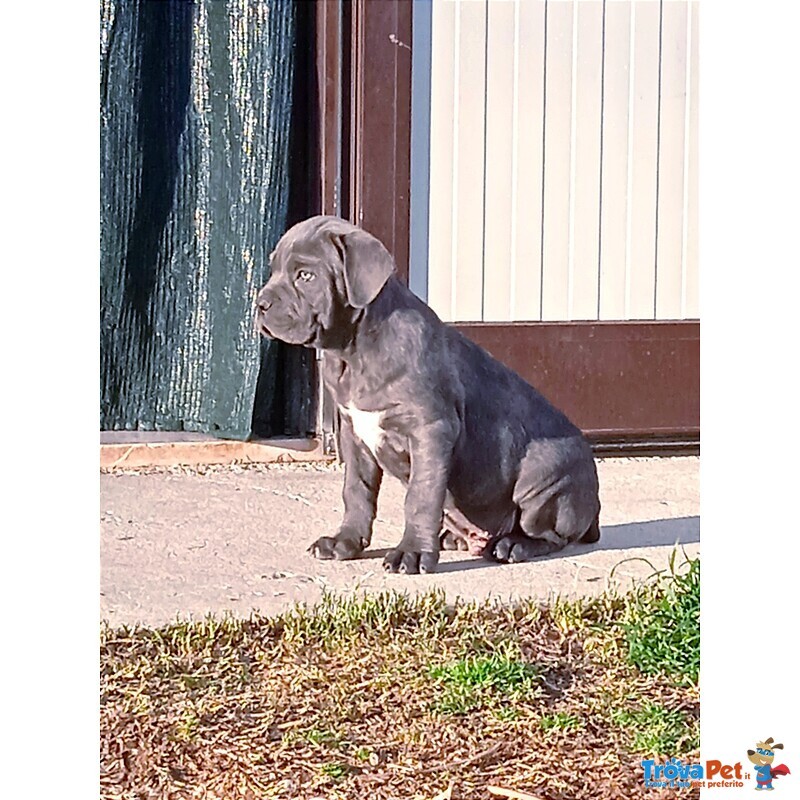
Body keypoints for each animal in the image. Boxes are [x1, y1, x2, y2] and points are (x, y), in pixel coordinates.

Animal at [256, 216, 600, 572]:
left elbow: (420, 497)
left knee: (551, 535)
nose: (260, 303)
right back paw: (456, 538)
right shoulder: (354, 434)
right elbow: (356, 491)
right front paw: (344, 542)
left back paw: (513, 545)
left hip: (544, 477)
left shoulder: (430, 431)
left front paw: (412, 553)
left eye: (305, 276)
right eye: (274, 270)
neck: (354, 351)